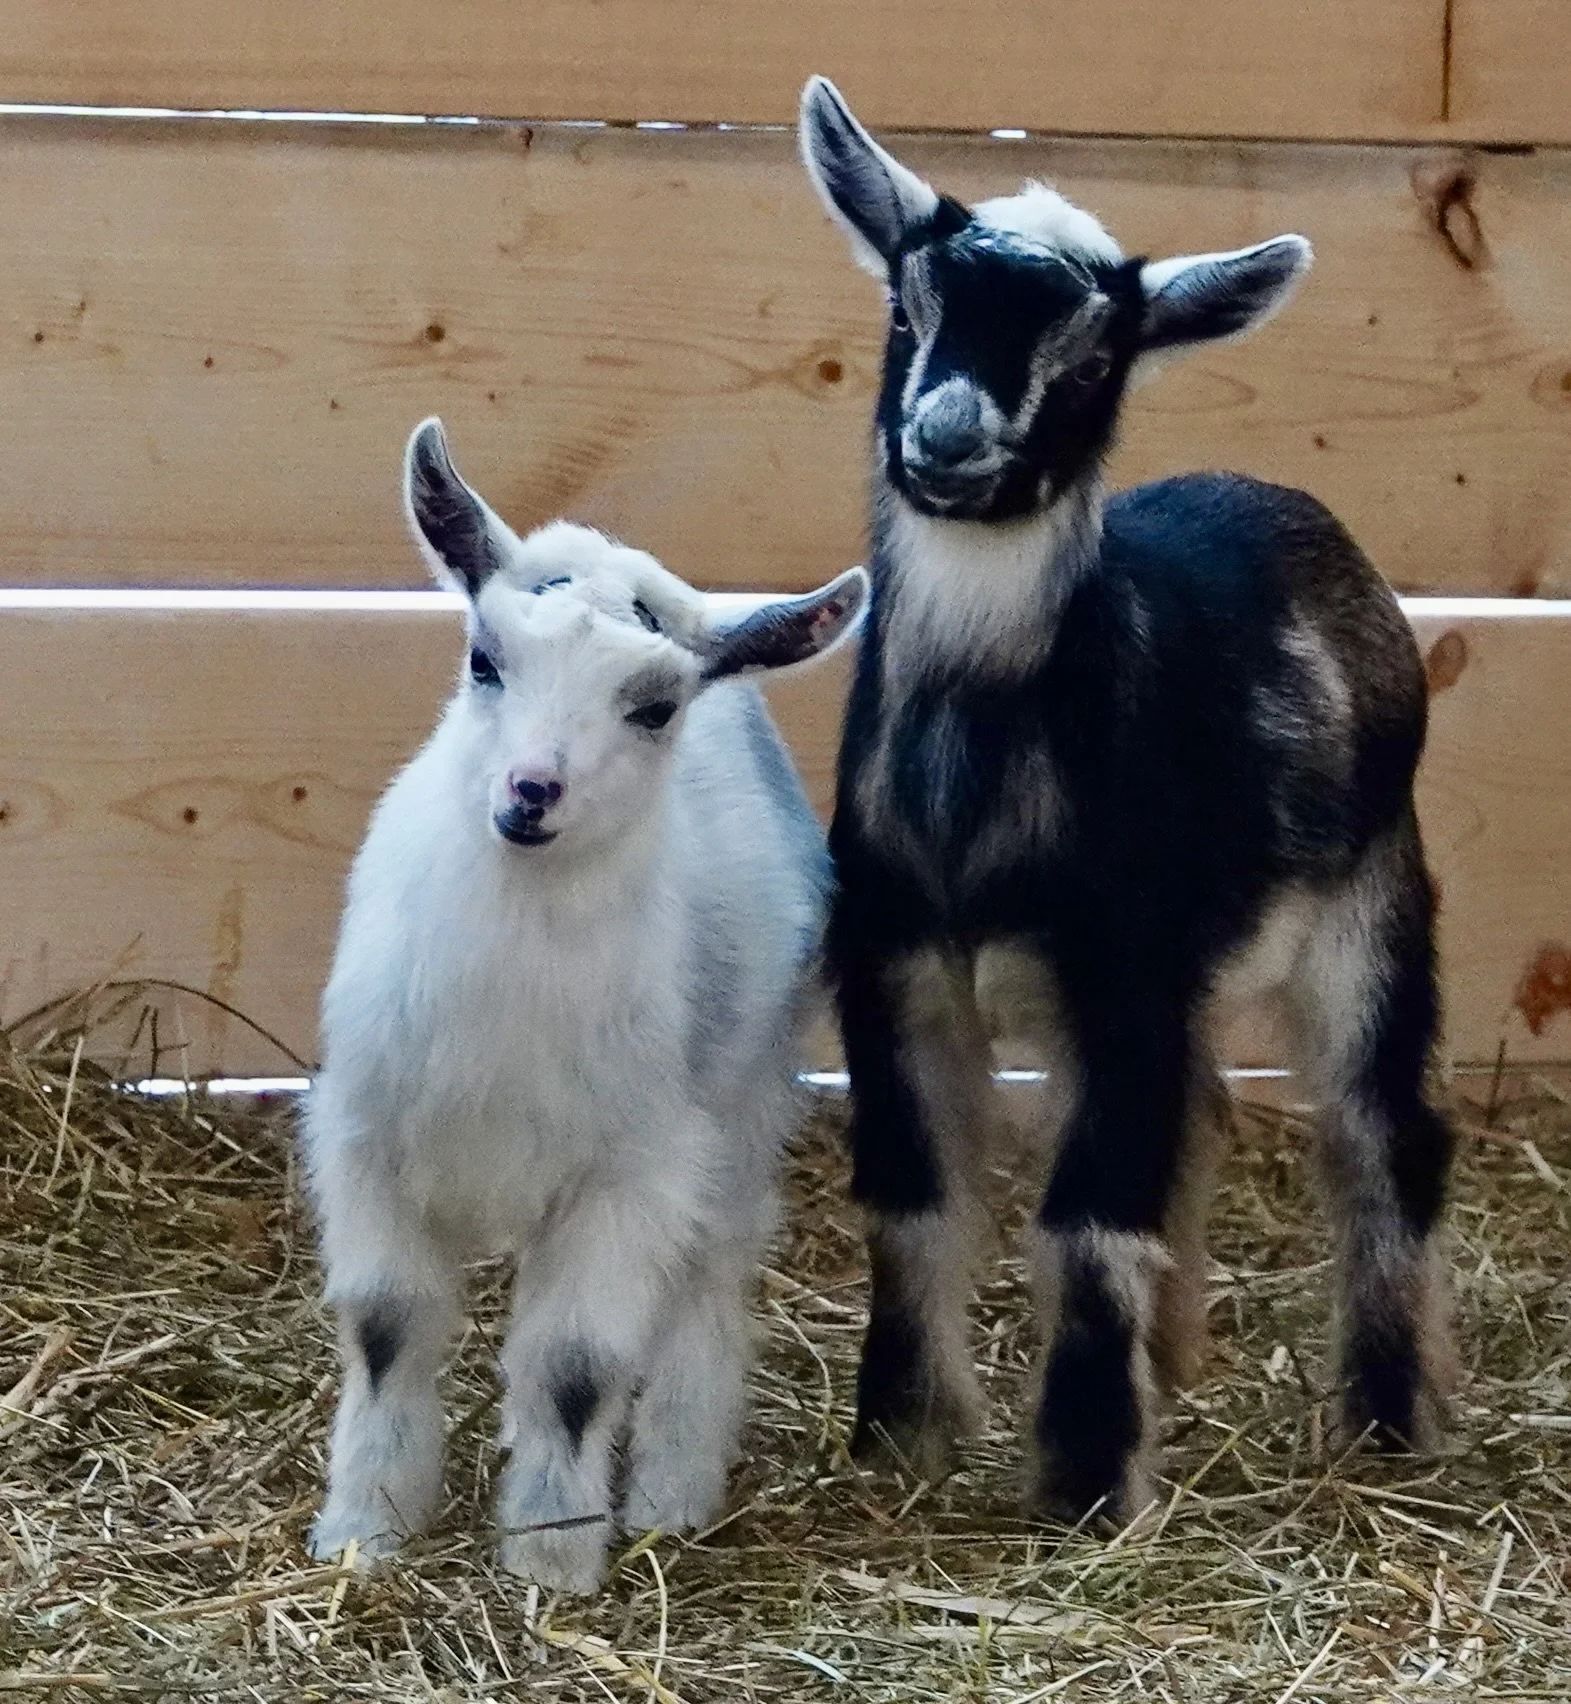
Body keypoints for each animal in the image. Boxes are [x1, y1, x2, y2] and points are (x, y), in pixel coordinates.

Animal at [302, 417, 867, 1589]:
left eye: (652, 707)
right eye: (484, 658)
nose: (530, 794)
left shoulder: (630, 1172)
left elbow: (574, 1364)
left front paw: (551, 1559)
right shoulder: (364, 1132)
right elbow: (385, 1327)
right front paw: (365, 1529)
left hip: (740, 1107)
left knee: (712, 1274)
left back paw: (672, 1493)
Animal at [800, 77, 1454, 1523]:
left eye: (1093, 361)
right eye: (904, 309)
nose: (947, 440)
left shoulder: (1120, 968)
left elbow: (1092, 1216)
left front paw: (1087, 1476)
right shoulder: (890, 960)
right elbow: (912, 1194)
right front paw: (901, 1437)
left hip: (1373, 902)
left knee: (1380, 1133)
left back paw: (1389, 1417)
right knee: (1201, 1111)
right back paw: (1183, 1355)